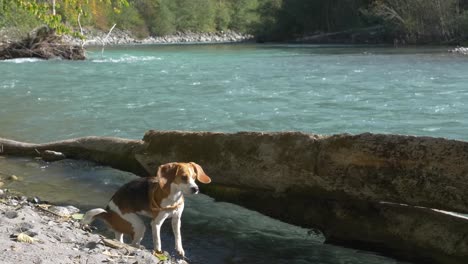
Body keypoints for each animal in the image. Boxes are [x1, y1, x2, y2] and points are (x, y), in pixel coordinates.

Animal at [81, 162, 211, 256]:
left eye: (194, 177)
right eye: (184, 177)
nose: (196, 189)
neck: (173, 197)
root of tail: (108, 212)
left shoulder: (176, 219)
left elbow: (178, 236)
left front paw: (179, 249)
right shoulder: (156, 223)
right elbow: (157, 240)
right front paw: (158, 252)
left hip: (124, 227)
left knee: (120, 238)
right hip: (137, 224)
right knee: (134, 243)